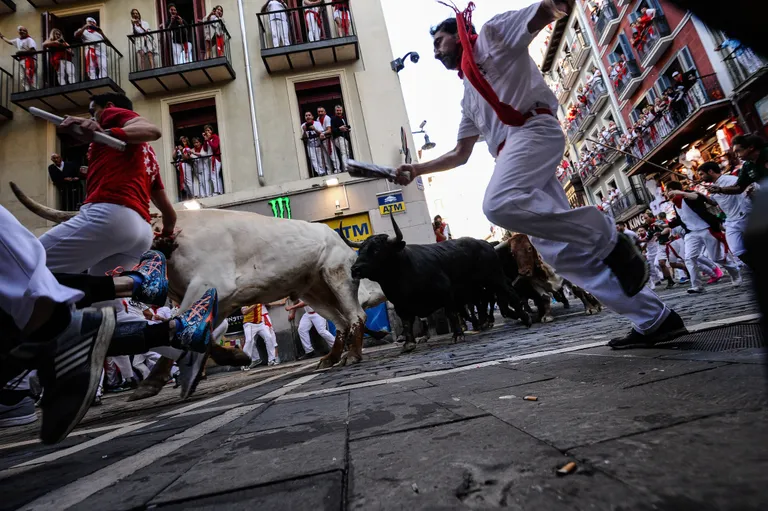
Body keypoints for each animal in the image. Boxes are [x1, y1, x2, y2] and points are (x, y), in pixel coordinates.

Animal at [340, 215, 528, 352]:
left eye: (376, 250)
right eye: (361, 250)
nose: (355, 269)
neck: (402, 275)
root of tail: (485, 244)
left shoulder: (447, 294)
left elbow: (451, 313)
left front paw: (458, 335)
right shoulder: (401, 305)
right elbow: (408, 323)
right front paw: (409, 343)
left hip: (495, 278)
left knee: (510, 293)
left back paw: (525, 317)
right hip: (483, 288)